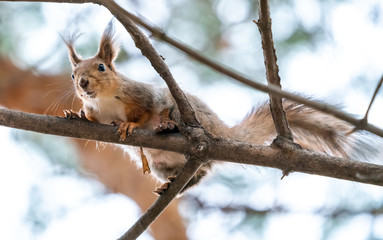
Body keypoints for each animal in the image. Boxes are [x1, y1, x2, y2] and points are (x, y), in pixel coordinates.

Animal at [63, 21, 364, 195]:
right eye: (73, 74)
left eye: (101, 67)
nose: (83, 83)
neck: (102, 99)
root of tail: (221, 130)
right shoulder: (98, 112)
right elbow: (94, 120)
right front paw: (75, 114)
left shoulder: (142, 95)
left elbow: (146, 111)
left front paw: (130, 124)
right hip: (163, 165)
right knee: (200, 173)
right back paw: (172, 185)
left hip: (187, 113)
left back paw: (168, 126)